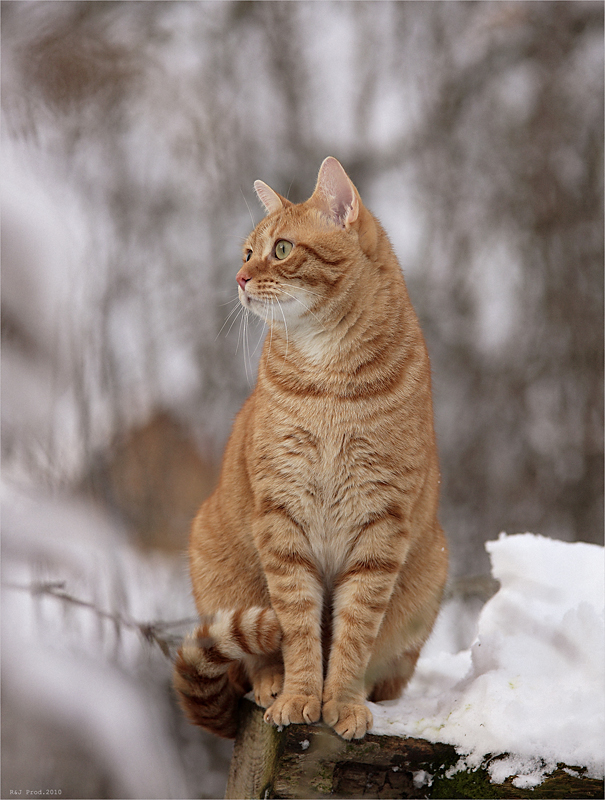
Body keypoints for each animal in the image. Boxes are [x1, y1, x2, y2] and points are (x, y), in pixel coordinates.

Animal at [172, 159, 446, 740]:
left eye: (281, 249)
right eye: (246, 253)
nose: (239, 279)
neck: (330, 382)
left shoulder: (380, 524)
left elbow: (354, 630)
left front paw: (340, 699)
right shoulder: (282, 515)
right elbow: (297, 625)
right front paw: (300, 694)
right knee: (252, 655)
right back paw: (272, 681)